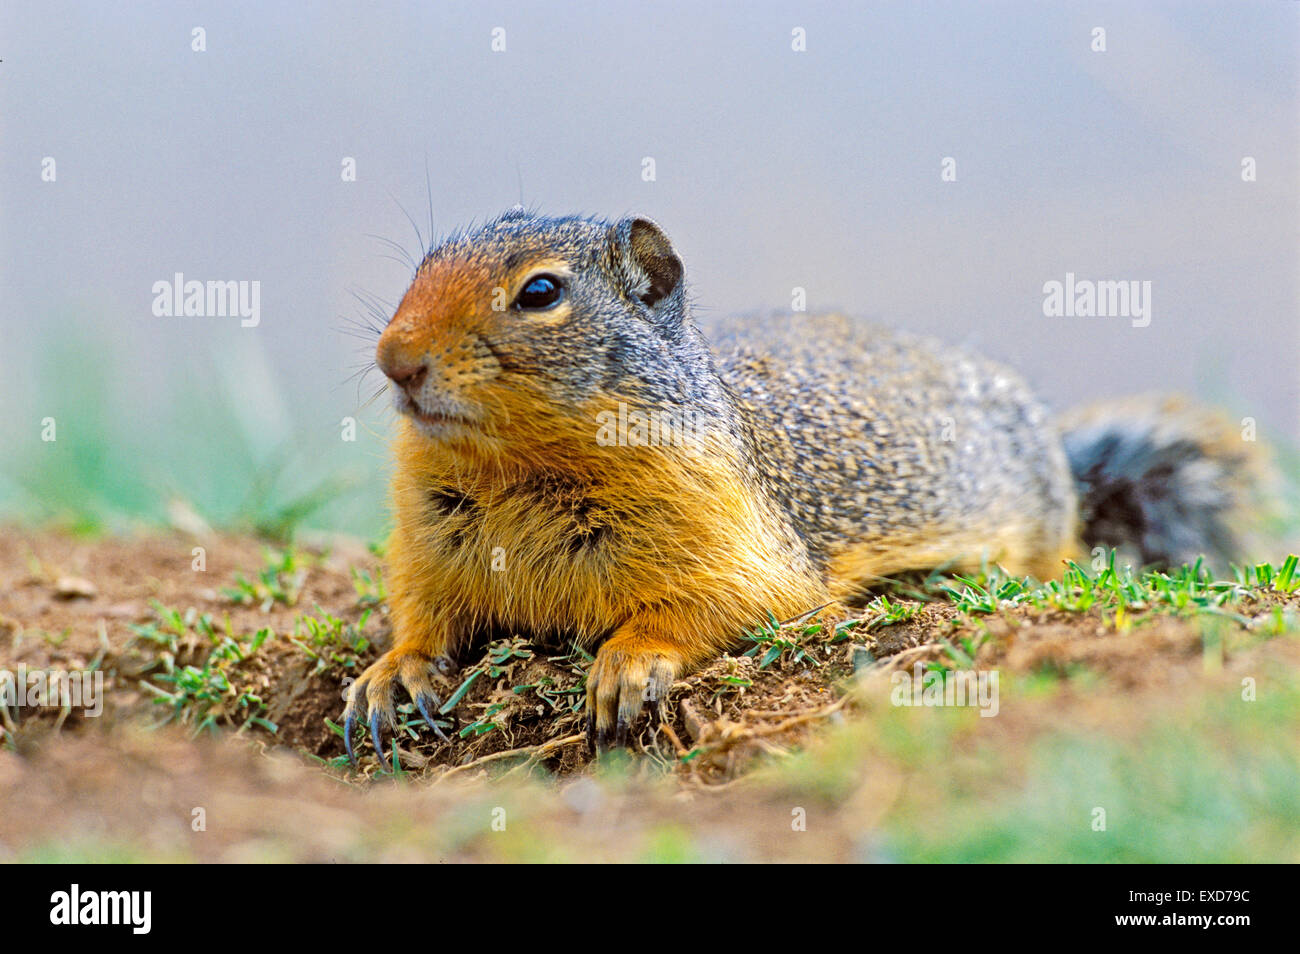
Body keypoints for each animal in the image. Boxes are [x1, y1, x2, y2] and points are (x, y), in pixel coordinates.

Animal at [343, 210, 1268, 764]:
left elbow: (720, 605)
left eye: (540, 291)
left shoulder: (731, 540)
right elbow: (422, 614)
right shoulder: (427, 545)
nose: (394, 358)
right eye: (421, 265)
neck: (515, 470)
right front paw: (388, 674)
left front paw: (627, 666)